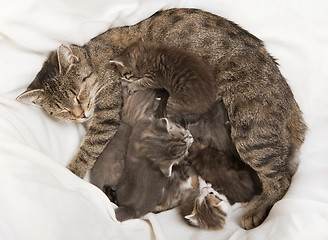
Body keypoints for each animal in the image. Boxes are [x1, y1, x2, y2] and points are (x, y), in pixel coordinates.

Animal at [16, 7, 306, 229]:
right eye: (60, 110)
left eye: (77, 94)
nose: (79, 115)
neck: (94, 57)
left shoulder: (107, 115)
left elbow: (88, 150)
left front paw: (71, 173)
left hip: (250, 133)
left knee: (281, 180)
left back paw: (256, 211)